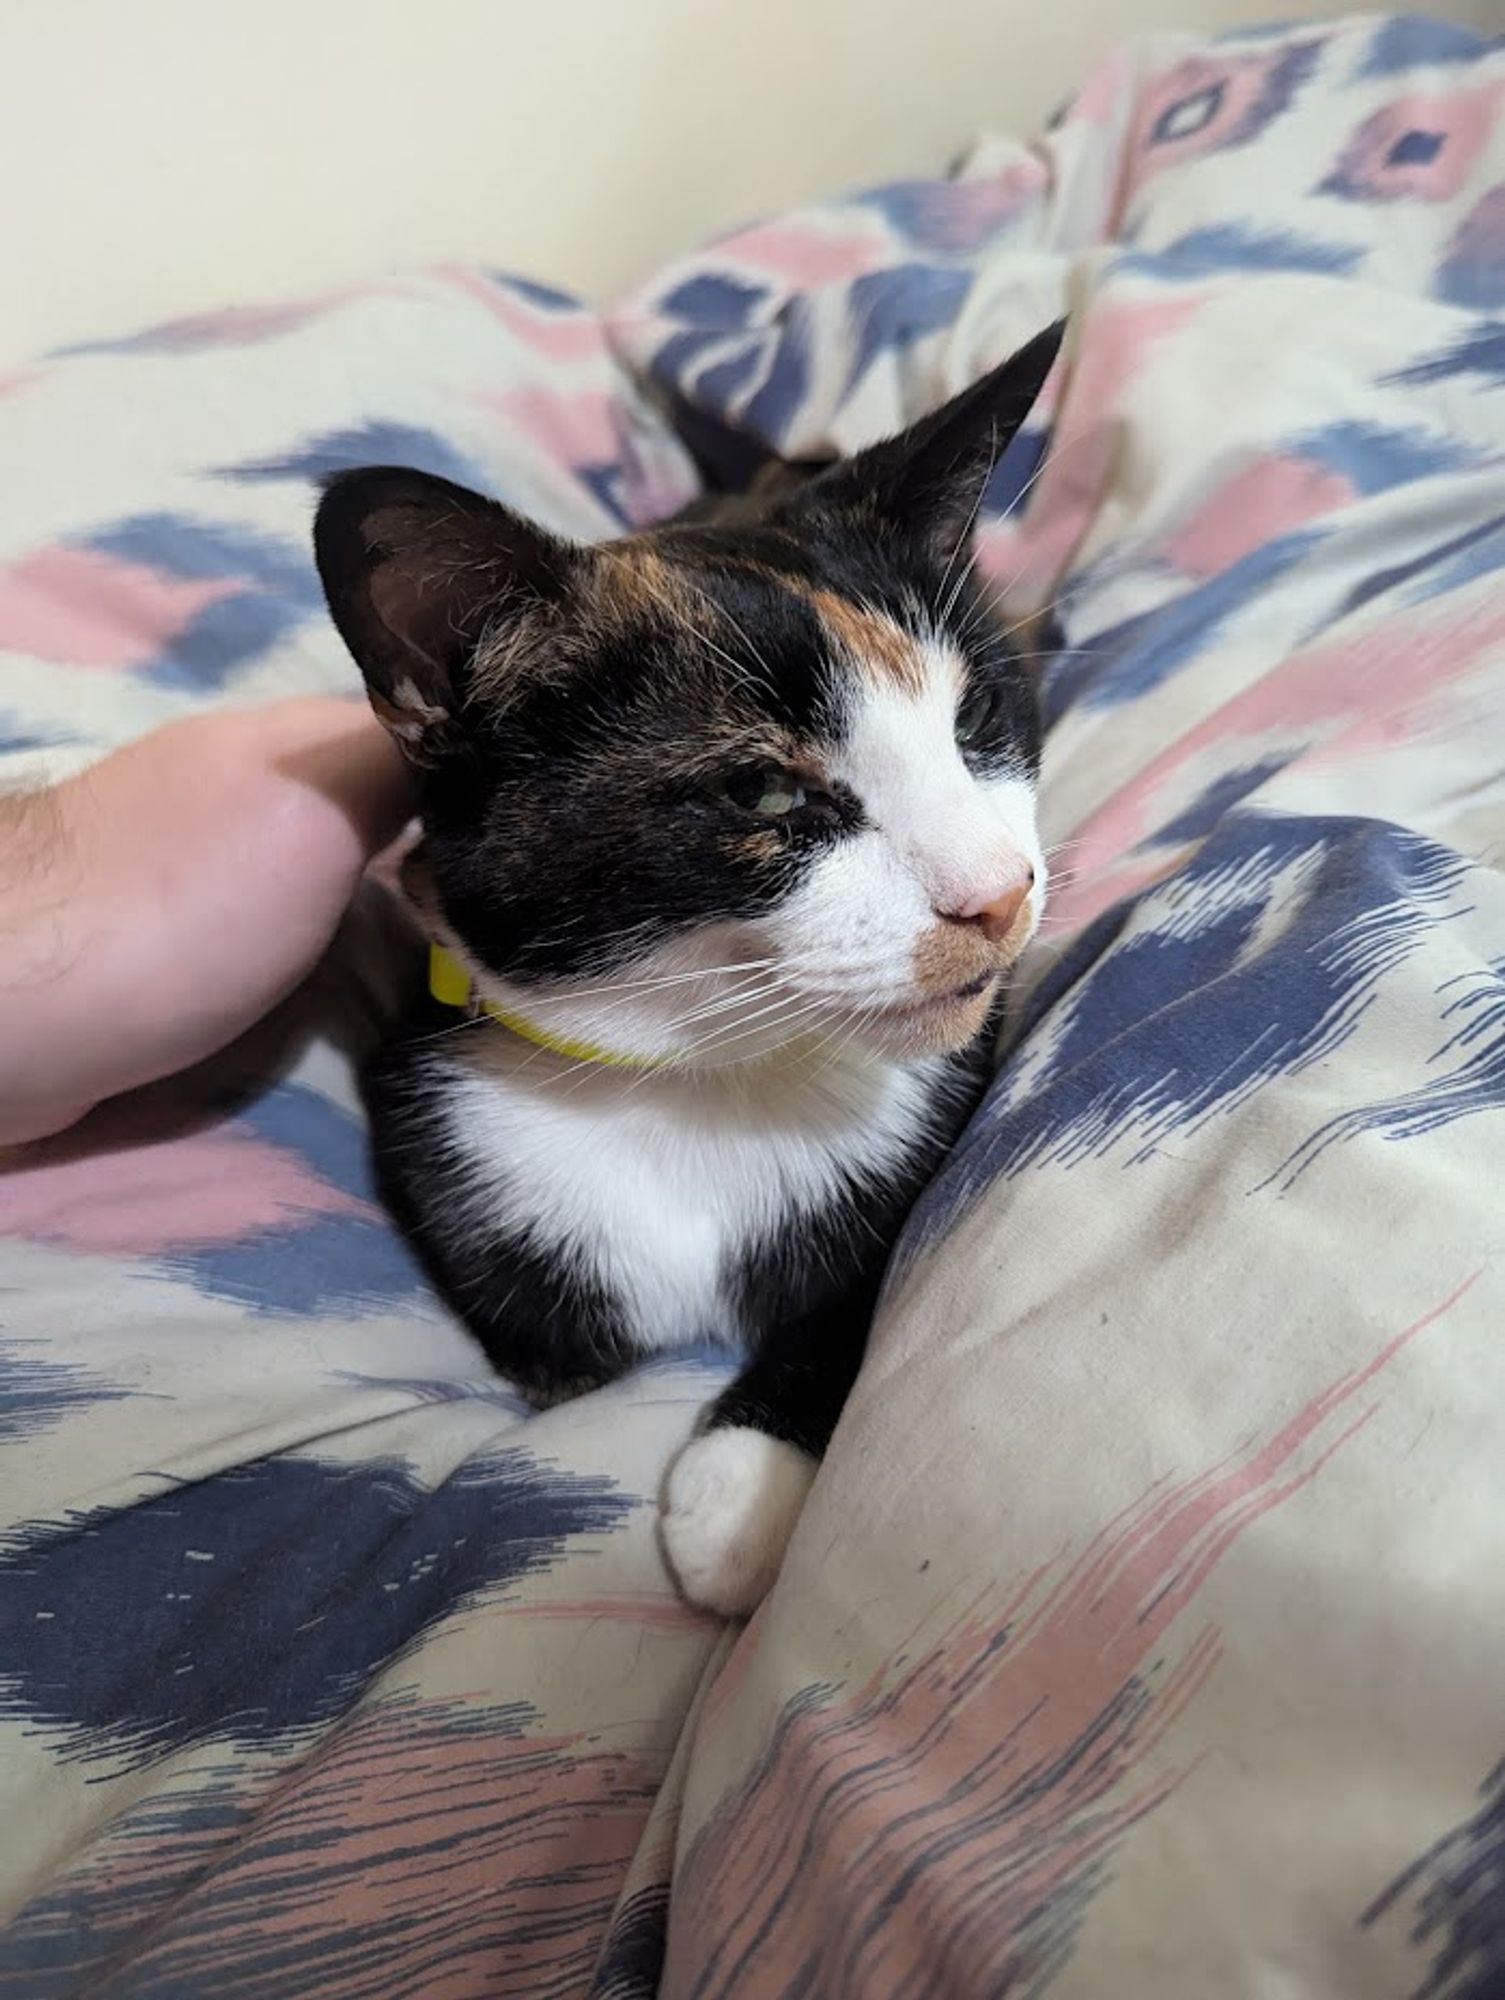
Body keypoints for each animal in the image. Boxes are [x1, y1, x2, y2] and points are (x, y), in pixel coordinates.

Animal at [312, 320, 1064, 1616]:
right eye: (764, 791)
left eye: (974, 720)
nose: (998, 894)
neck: (702, 1082)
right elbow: (555, 1358)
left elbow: (868, 1284)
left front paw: (744, 1485)